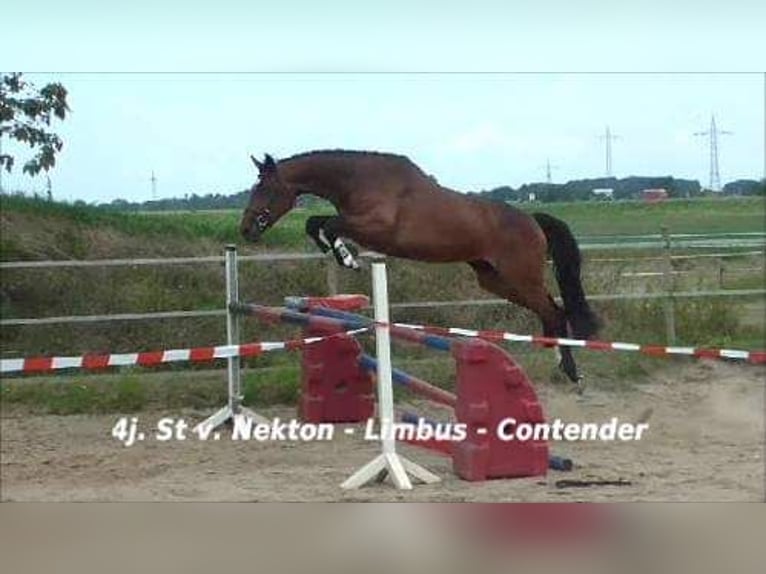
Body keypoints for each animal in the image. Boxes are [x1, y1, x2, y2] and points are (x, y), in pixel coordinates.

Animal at [243, 151, 604, 384]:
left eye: (264, 188)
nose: (246, 229)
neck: (360, 180)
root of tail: (532, 221)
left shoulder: (374, 227)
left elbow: (328, 224)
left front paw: (347, 257)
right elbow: (315, 223)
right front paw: (337, 252)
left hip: (520, 276)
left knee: (554, 311)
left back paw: (571, 370)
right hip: (495, 280)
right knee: (549, 311)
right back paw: (560, 362)